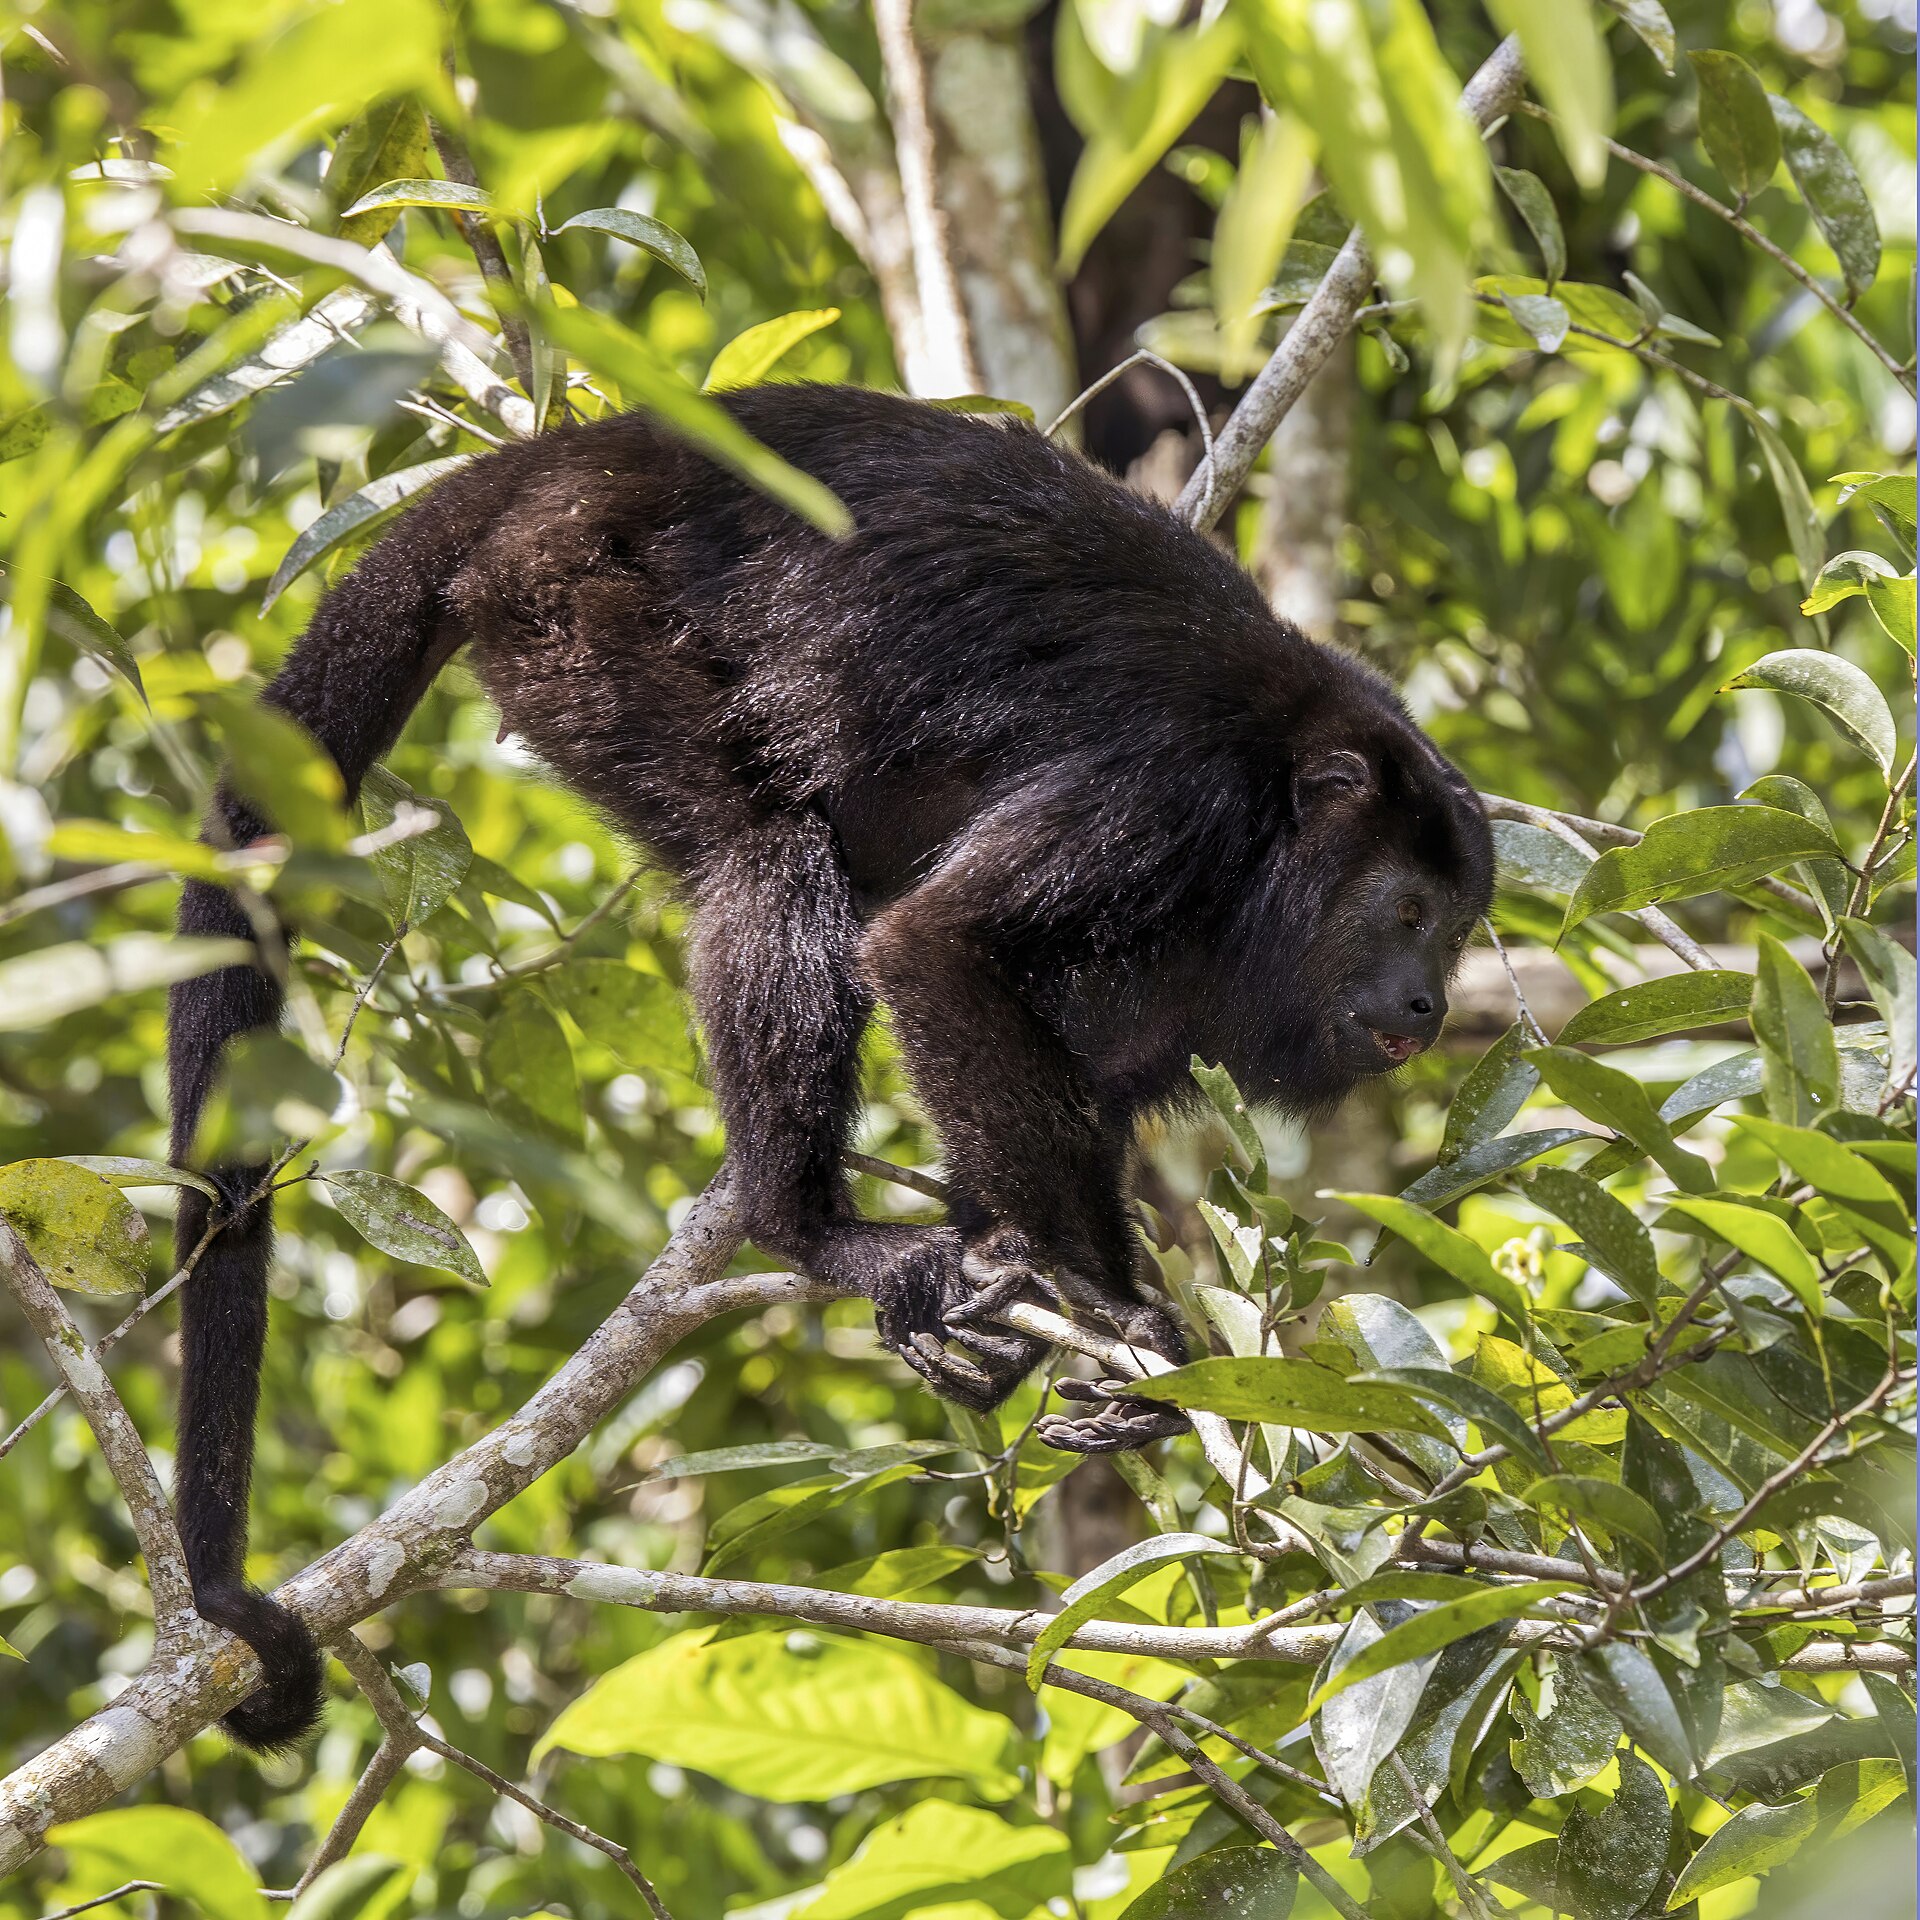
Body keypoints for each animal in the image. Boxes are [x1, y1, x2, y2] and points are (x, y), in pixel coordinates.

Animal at [165, 383, 1494, 1747]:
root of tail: (586, 447)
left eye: (1456, 926)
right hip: (569, 601)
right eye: (1403, 910)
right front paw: (1102, 1308)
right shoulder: (1163, 801)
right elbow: (935, 951)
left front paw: (1075, 1320)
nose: (1431, 998)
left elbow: (1074, 1071)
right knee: (767, 849)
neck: (1278, 811)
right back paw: (809, 1225)